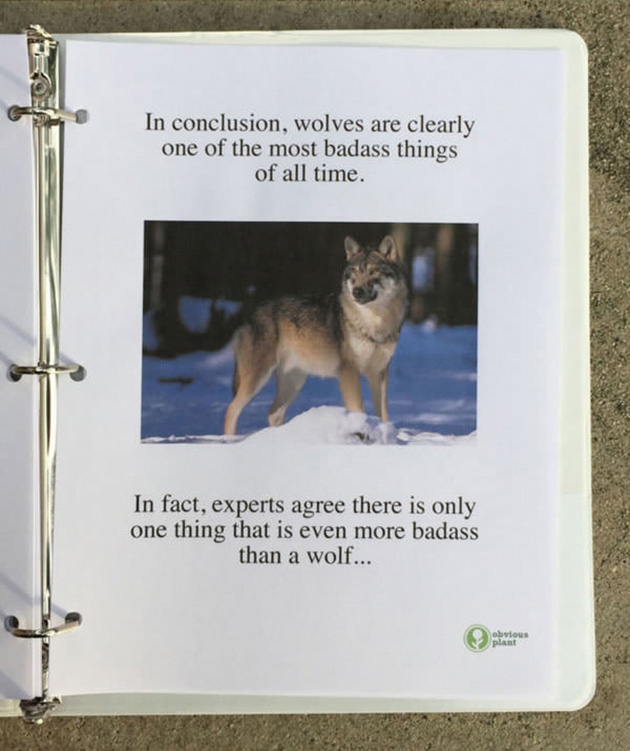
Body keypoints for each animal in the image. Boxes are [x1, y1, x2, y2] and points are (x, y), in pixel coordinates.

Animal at [224, 235, 408, 435]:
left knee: (273, 413)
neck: (374, 322)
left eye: (373, 272)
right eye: (354, 272)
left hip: (294, 382)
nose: (356, 292)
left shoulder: (380, 373)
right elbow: (358, 408)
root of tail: (249, 316)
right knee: (231, 409)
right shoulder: (349, 372)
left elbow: (383, 414)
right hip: (259, 378)